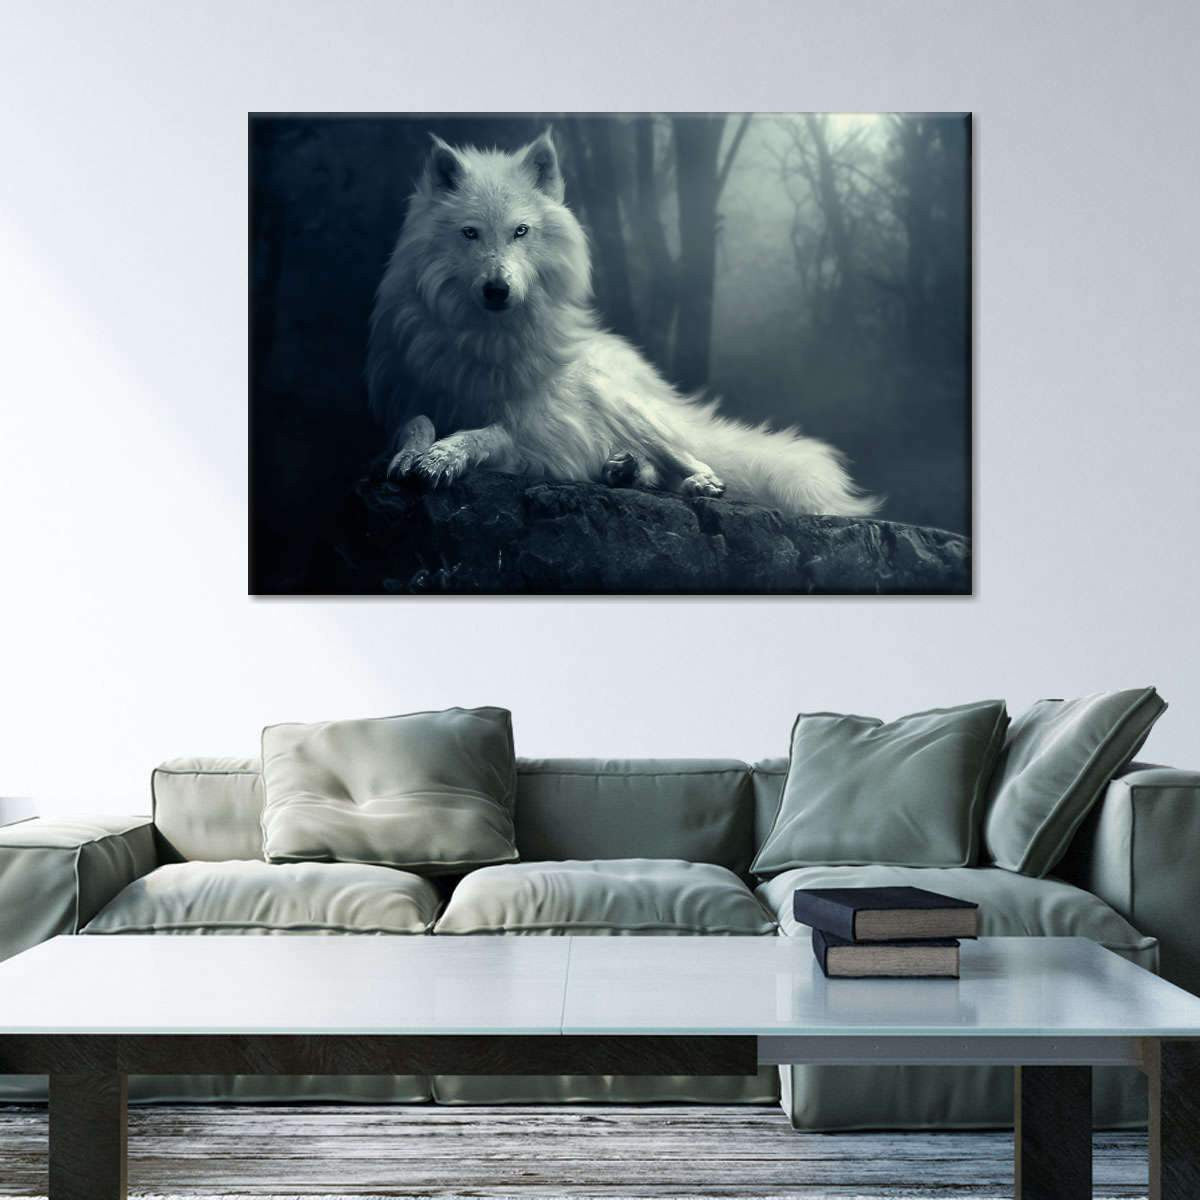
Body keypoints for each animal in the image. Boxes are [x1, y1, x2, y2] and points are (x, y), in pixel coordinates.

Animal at [367, 129, 877, 516]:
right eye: (470, 233)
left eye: (520, 232)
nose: (497, 289)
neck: (485, 339)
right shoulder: (407, 397)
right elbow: (415, 423)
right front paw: (412, 454)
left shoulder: (534, 431)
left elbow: (486, 433)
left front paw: (443, 456)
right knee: (648, 468)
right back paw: (624, 469)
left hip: (627, 408)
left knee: (696, 460)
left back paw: (694, 483)